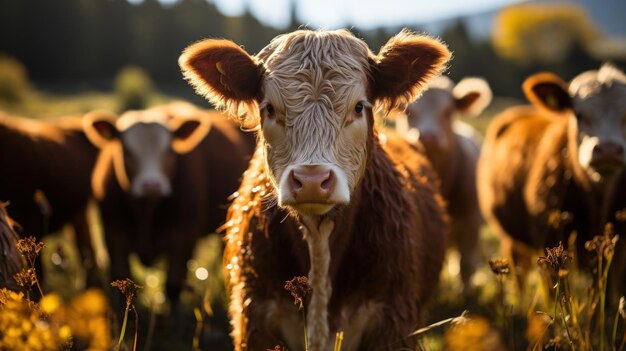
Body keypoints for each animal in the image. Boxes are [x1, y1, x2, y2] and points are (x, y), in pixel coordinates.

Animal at [83, 102, 254, 302]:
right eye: (126, 151)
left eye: (169, 151)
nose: (151, 185)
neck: (147, 212)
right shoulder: (113, 236)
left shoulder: (184, 237)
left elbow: (173, 287)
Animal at [392, 76, 490, 294]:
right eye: (408, 112)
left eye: (448, 112)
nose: (428, 137)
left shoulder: (471, 223)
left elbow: (465, 265)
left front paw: (465, 294)